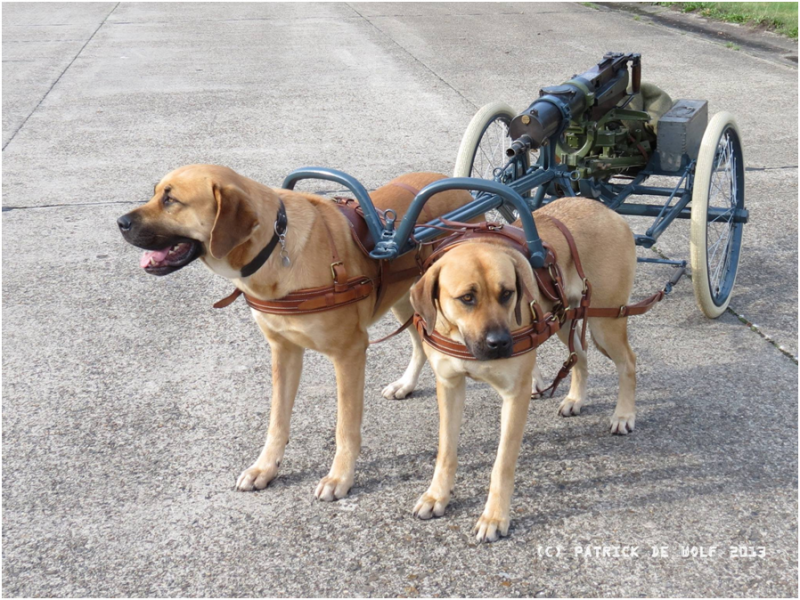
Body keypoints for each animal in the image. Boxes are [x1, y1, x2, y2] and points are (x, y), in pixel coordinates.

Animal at [118, 164, 476, 502]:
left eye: (171, 200)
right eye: (155, 193)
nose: (120, 222)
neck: (276, 247)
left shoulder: (349, 354)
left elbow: (345, 427)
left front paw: (340, 477)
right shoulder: (283, 350)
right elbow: (277, 420)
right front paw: (265, 468)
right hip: (405, 299)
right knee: (417, 341)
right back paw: (406, 384)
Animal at [412, 198, 636, 544]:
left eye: (507, 293)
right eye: (467, 298)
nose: (500, 343)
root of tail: (605, 210)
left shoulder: (514, 395)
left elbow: (502, 465)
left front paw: (494, 517)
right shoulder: (449, 385)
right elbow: (446, 451)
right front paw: (437, 495)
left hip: (606, 321)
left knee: (628, 363)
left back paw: (624, 414)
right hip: (565, 319)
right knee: (580, 356)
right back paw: (575, 399)